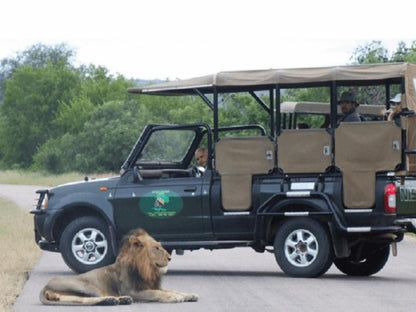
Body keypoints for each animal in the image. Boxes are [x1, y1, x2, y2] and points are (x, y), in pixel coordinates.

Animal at [39, 228, 199, 306]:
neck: (146, 268)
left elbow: (172, 289)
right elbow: (155, 293)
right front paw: (173, 297)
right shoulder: (133, 291)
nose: (169, 258)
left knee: (72, 299)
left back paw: (119, 300)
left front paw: (188, 295)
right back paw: (115, 300)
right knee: (91, 298)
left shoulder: (154, 285)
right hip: (86, 286)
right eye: (156, 248)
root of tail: (44, 287)